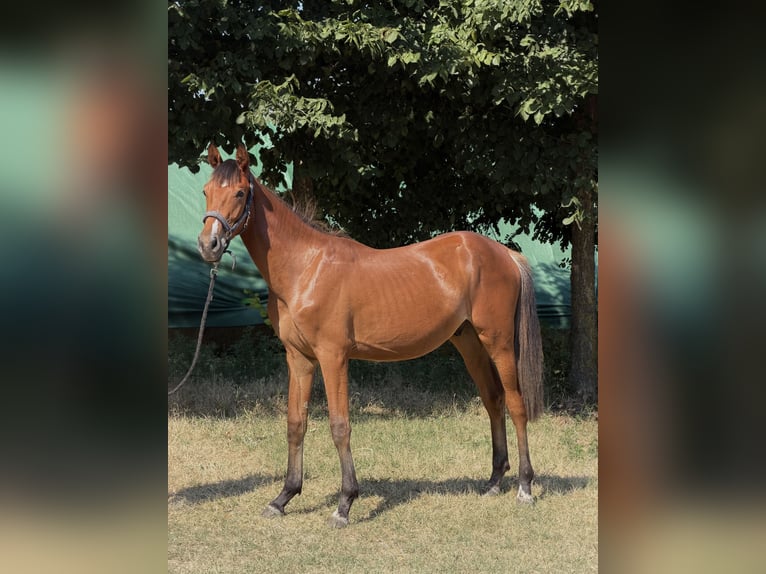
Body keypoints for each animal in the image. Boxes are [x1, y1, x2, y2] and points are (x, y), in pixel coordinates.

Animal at [196, 143, 544, 528]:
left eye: (240, 193)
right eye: (206, 192)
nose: (209, 245)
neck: (306, 268)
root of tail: (505, 254)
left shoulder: (333, 357)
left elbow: (339, 425)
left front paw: (344, 504)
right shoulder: (299, 358)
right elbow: (296, 423)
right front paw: (283, 497)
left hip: (499, 343)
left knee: (515, 405)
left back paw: (525, 488)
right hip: (469, 342)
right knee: (493, 401)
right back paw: (494, 481)